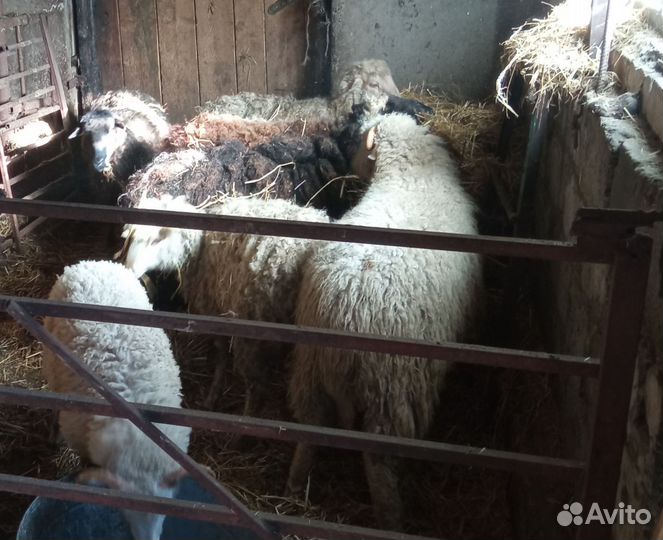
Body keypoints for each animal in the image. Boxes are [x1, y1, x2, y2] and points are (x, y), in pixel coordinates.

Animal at [120, 195, 329, 418]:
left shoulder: (214, 311)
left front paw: (213, 395)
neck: (200, 248)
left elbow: (221, 355)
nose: (129, 269)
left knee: (256, 382)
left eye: (156, 240)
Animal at [286, 113, 483, 530]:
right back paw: (391, 519)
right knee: (377, 464)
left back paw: (294, 484)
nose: (346, 165)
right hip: (390, 390)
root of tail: (344, 306)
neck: (411, 176)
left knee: (309, 429)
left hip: (310, 373)